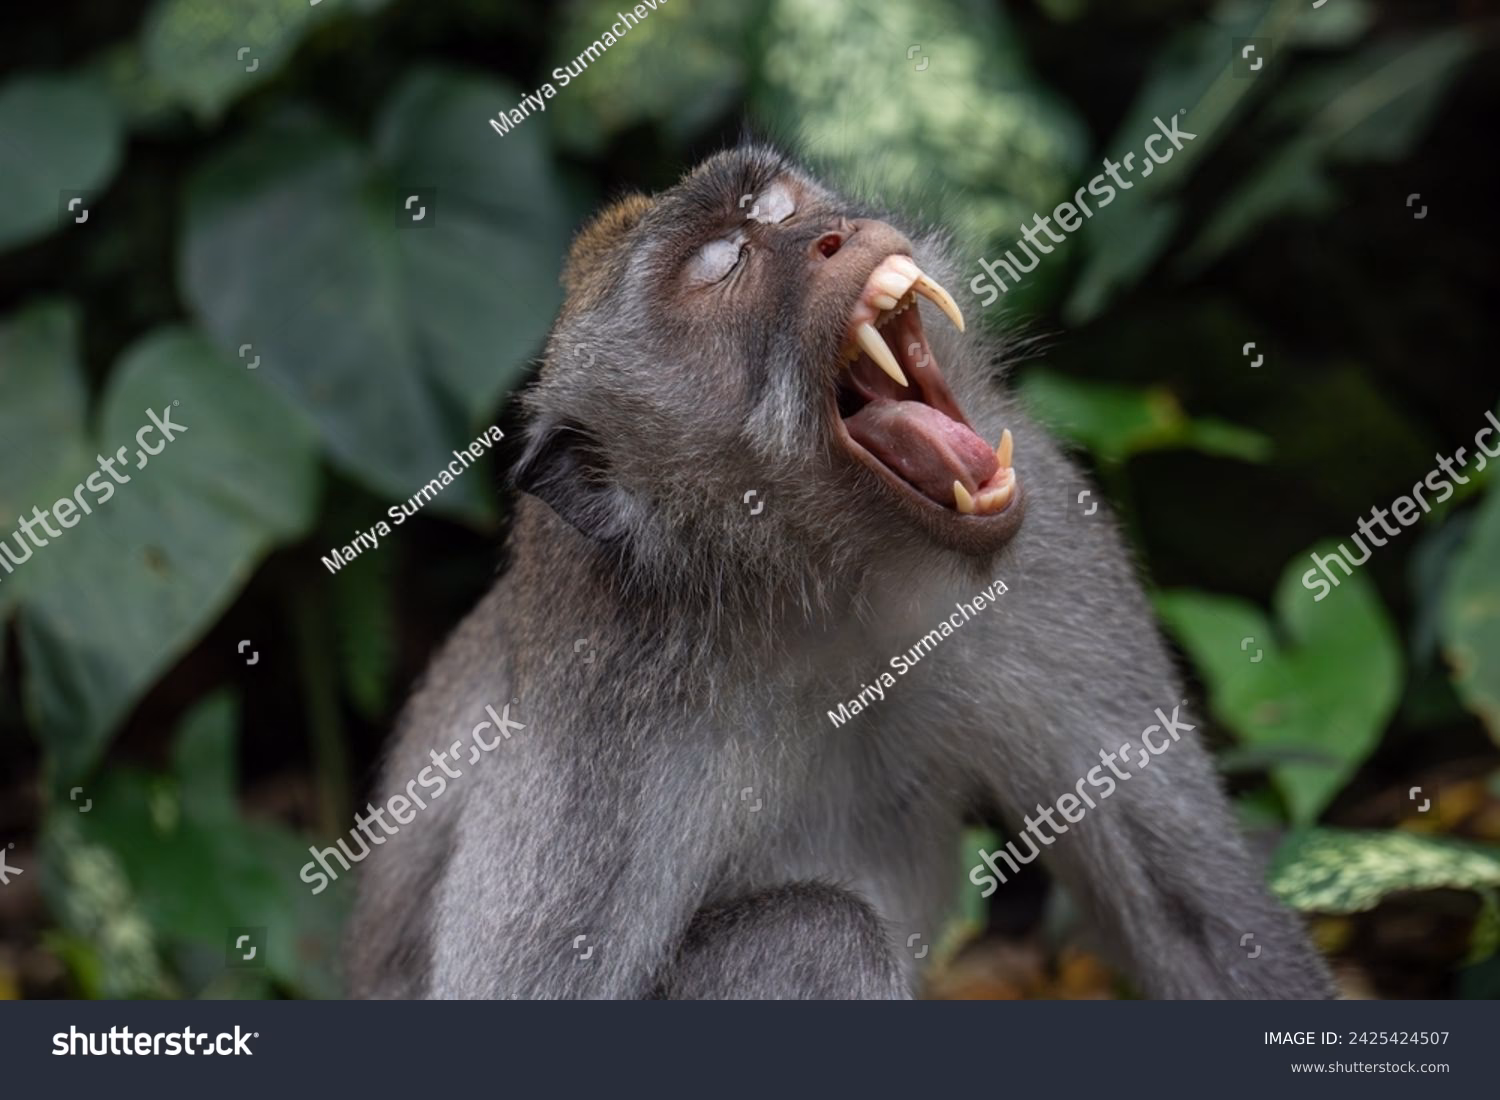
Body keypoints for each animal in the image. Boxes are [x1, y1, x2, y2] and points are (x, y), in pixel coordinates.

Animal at [345, 144, 1334, 1000]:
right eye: (722, 266)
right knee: (818, 937)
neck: (815, 589)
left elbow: (1199, 919)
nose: (831, 233)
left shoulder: (1055, 537)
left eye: (777, 207)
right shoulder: (600, 711)